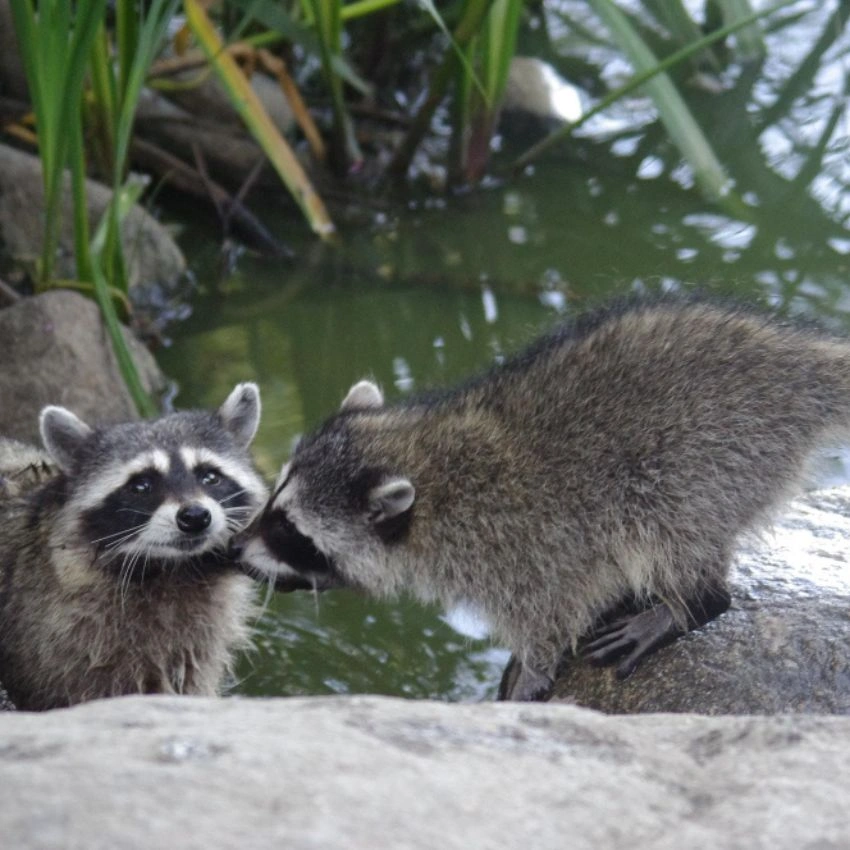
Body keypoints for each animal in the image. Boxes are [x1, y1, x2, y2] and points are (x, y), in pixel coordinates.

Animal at [0, 384, 267, 711]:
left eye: (210, 476)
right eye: (141, 485)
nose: (195, 516)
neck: (174, 569)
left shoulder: (194, 641)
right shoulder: (54, 633)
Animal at [231, 299, 850, 701]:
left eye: (288, 530)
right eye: (273, 504)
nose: (233, 550)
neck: (423, 457)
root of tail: (793, 359)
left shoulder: (526, 544)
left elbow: (550, 610)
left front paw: (534, 667)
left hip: (708, 456)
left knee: (668, 529)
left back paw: (686, 604)